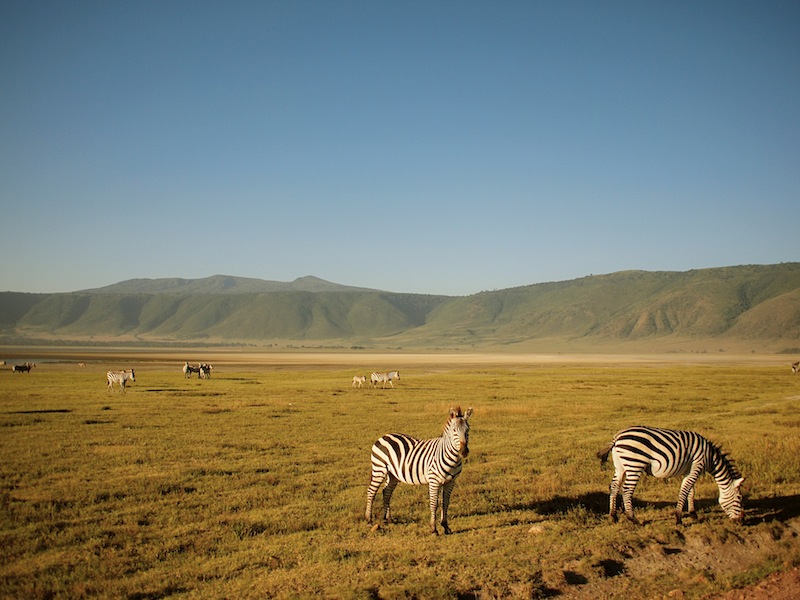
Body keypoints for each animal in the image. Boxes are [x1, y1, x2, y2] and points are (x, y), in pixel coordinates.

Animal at [366, 404, 472, 536]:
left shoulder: (451, 482)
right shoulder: (434, 481)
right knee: (371, 491)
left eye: (468, 430)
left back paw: (388, 519)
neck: (451, 457)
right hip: (379, 468)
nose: (464, 451)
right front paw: (434, 529)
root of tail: (384, 436)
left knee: (387, 491)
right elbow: (434, 504)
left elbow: (446, 503)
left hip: (393, 474)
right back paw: (369, 520)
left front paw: (446, 526)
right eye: (454, 431)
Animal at [596, 426, 748, 524]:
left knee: (614, 486)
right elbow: (685, 490)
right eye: (739, 498)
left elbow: (691, 491)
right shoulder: (697, 466)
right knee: (627, 490)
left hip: (621, 466)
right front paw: (679, 518)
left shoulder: (689, 470)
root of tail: (617, 438)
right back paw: (632, 518)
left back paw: (613, 516)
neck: (711, 458)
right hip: (635, 464)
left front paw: (693, 513)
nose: (741, 521)